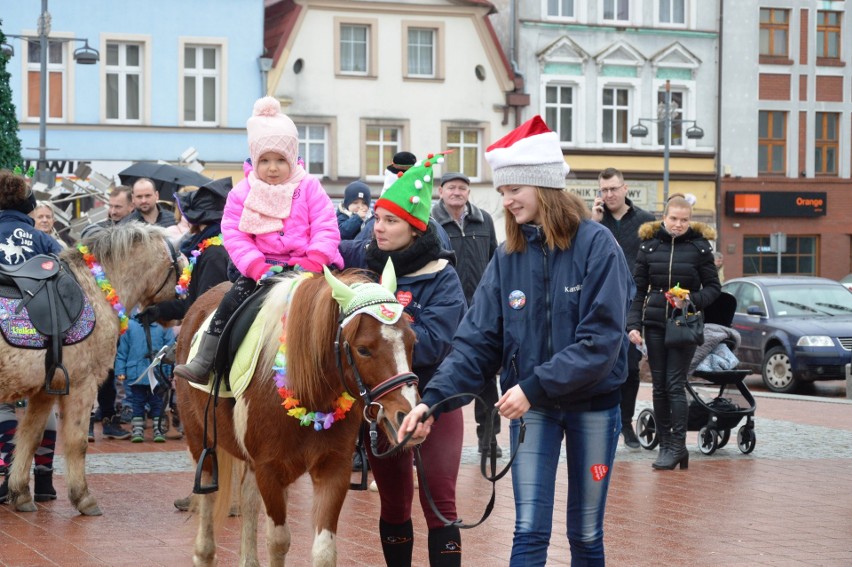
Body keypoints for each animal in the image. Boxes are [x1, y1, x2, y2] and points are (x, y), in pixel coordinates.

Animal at [0, 224, 183, 516]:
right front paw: (83, 498)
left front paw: (20, 494)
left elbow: (29, 436)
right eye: (181, 266)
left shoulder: (45, 390)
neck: (94, 287)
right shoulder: (81, 385)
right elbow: (77, 442)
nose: (179, 311)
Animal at [177, 266, 420, 567]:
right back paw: (204, 552)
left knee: (247, 498)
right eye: (363, 349)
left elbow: (324, 551)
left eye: (412, 342)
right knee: (208, 501)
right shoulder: (270, 471)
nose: (408, 416)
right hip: (199, 438)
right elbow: (278, 541)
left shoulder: (333, 469)